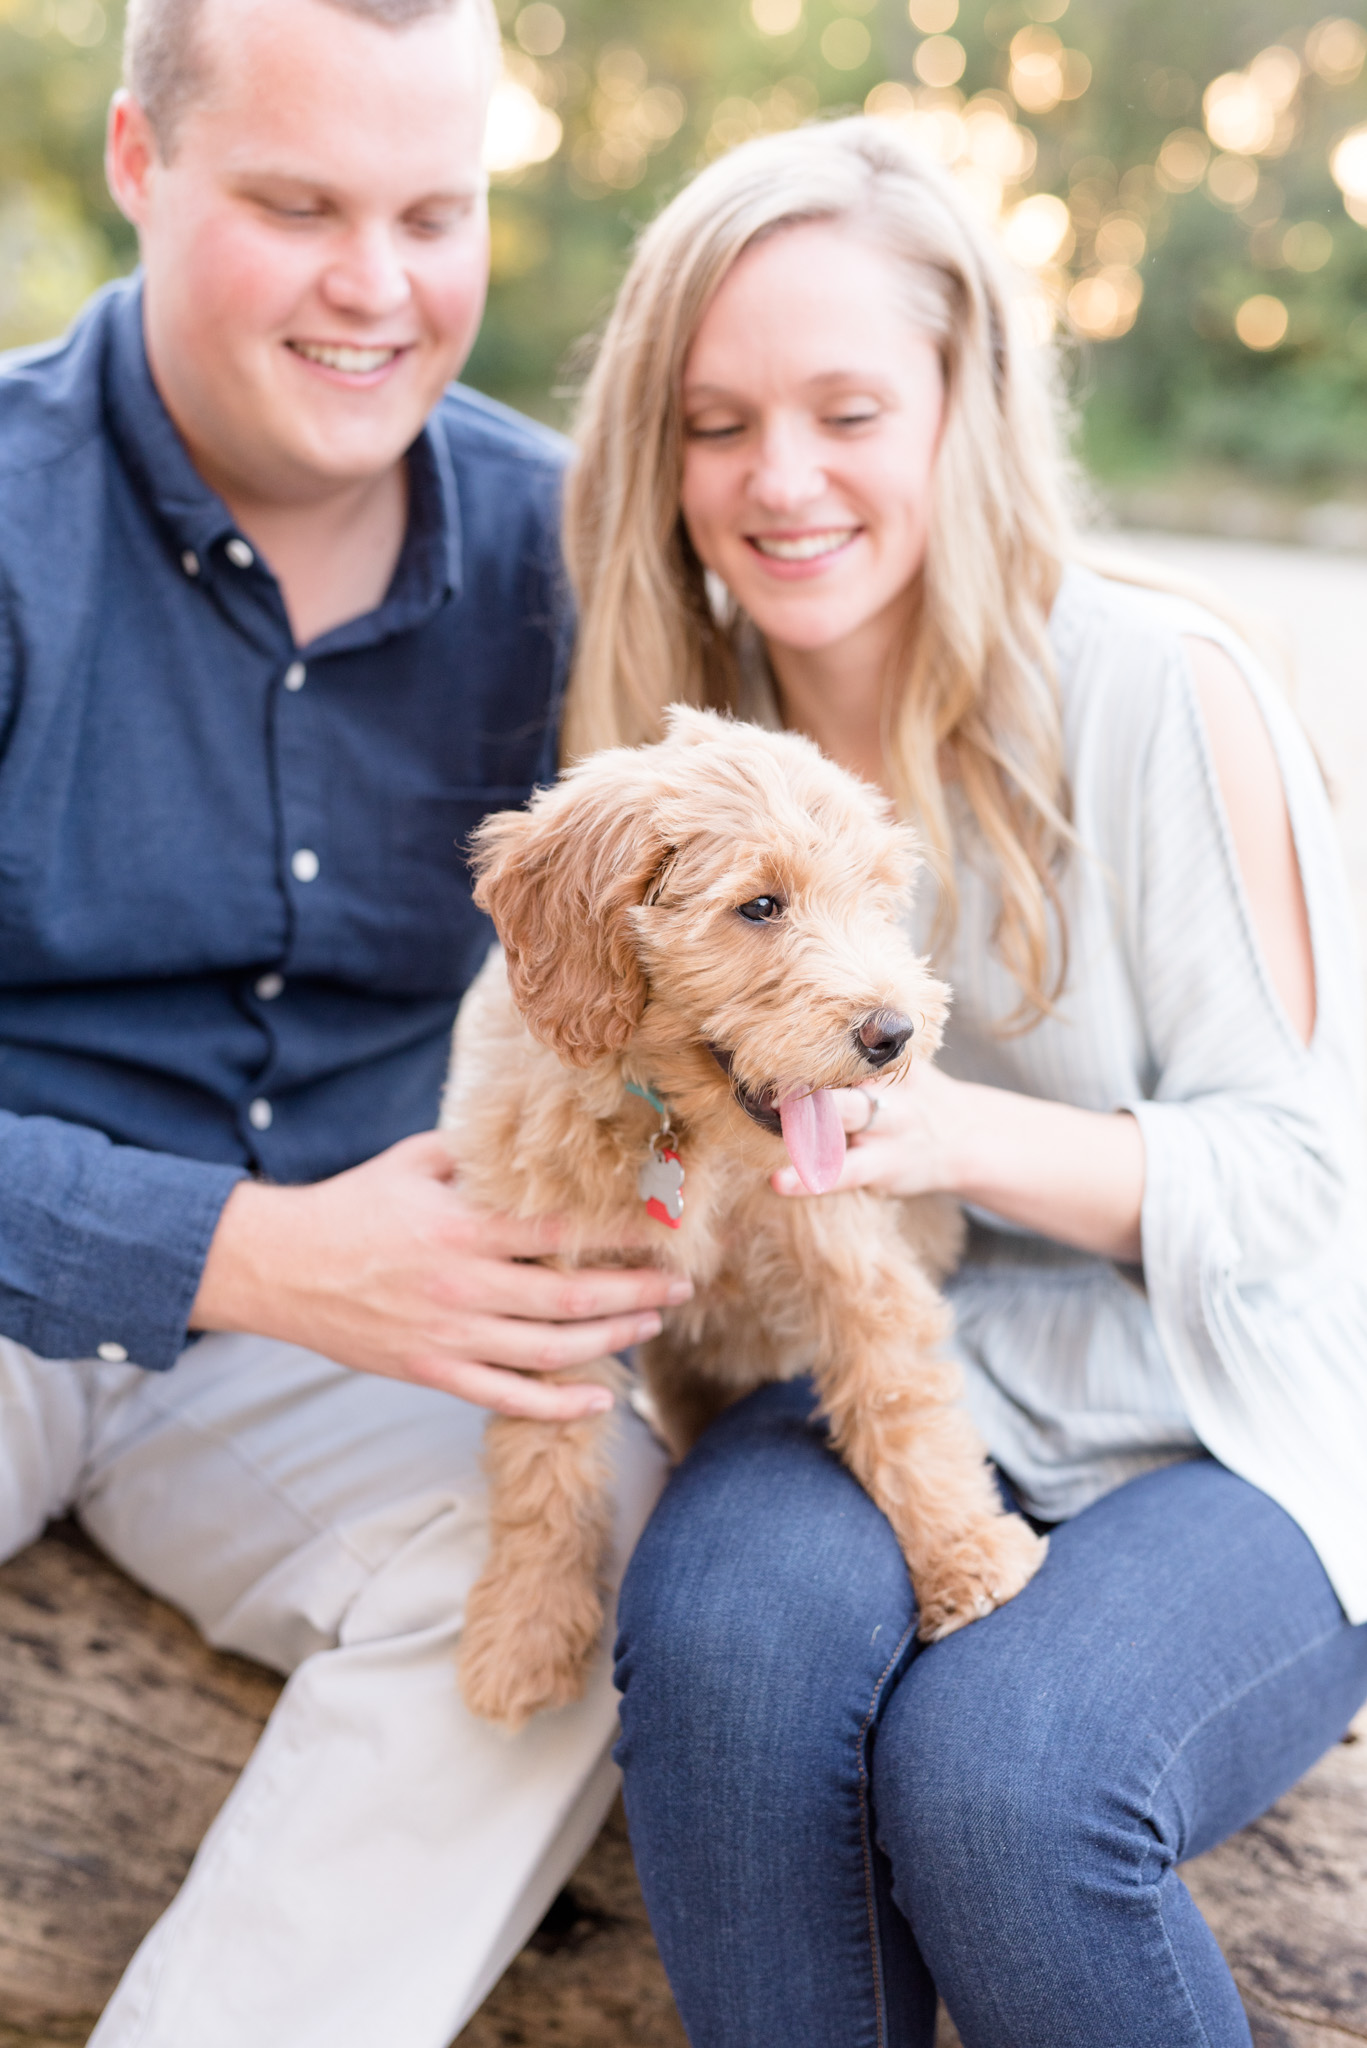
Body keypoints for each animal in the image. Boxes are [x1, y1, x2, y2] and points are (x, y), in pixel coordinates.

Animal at [448, 708, 1049, 1728]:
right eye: (760, 906)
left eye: (876, 898)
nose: (893, 1033)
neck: (681, 1134)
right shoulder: (545, 1290)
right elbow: (541, 1467)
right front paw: (525, 1630)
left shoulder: (851, 1253)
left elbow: (903, 1403)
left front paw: (967, 1555)